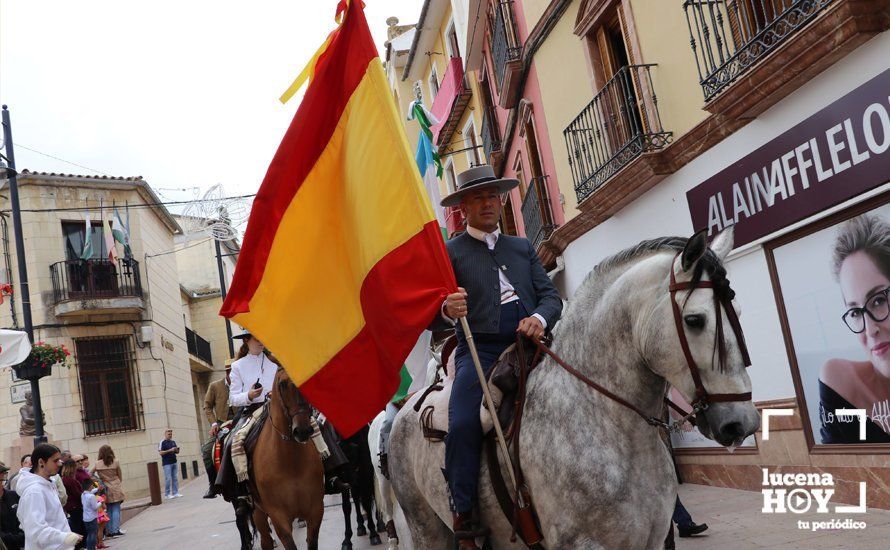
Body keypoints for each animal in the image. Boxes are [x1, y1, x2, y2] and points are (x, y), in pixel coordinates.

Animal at [248, 366, 324, 550]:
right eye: (282, 383)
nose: (302, 431)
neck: (291, 463)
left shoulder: (316, 510)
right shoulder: (278, 517)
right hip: (257, 511)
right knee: (266, 541)